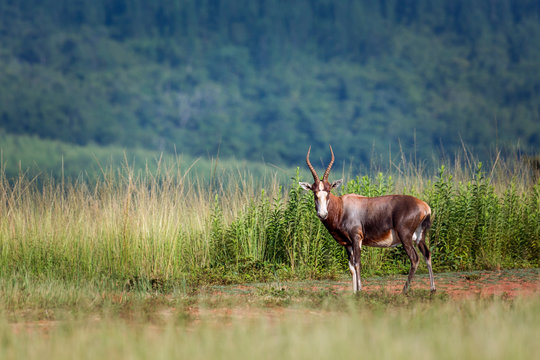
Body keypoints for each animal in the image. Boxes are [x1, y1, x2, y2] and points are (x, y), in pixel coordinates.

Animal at [300, 146, 434, 292]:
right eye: (314, 192)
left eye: (328, 191)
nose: (323, 214)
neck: (342, 207)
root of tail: (424, 206)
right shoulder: (348, 244)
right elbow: (351, 267)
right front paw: (354, 292)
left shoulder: (356, 238)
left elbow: (357, 263)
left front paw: (360, 291)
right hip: (419, 237)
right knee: (427, 254)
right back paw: (432, 289)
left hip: (405, 237)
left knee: (415, 259)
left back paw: (404, 291)